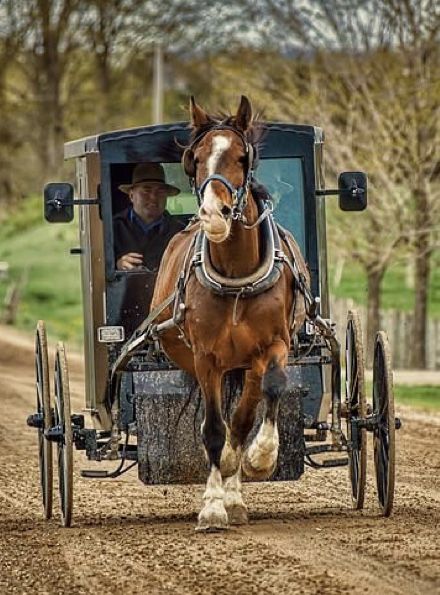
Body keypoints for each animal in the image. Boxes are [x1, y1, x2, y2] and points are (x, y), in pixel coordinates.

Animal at [151, 95, 310, 532]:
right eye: (195, 159)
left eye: (242, 157)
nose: (213, 215)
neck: (237, 278)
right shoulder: (207, 358)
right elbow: (212, 429)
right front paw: (211, 506)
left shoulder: (272, 347)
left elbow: (264, 399)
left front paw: (259, 460)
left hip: (246, 365)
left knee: (241, 420)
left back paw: (237, 489)